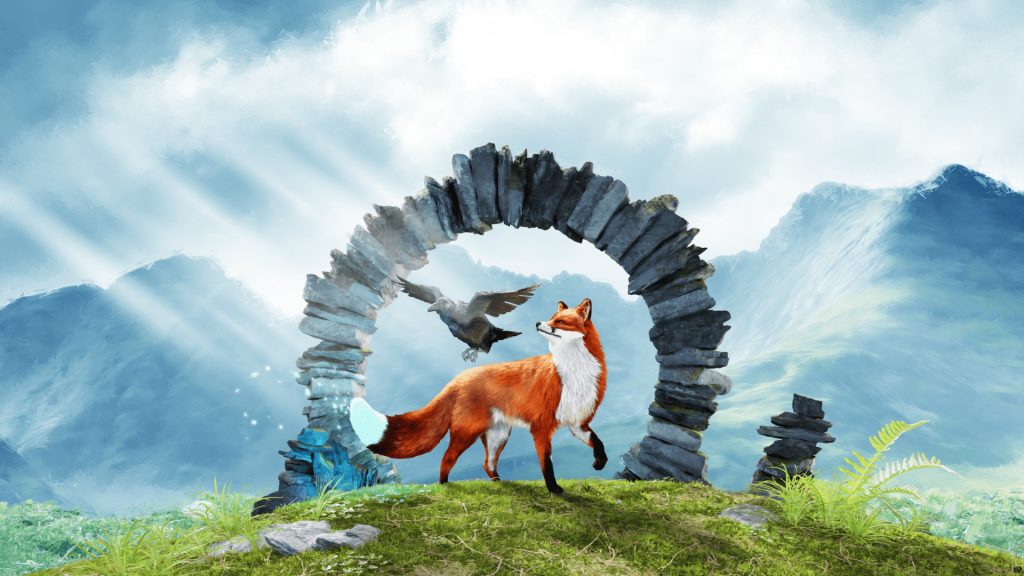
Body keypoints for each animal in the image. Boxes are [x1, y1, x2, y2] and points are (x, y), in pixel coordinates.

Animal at [368, 298, 607, 494]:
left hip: (498, 436)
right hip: (467, 433)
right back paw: (444, 486)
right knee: (446, 459)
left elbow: (599, 443)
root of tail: (458, 379)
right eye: (551, 318)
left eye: (561, 321)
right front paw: (554, 489)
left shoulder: (577, 422)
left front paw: (600, 463)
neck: (573, 374)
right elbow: (546, 464)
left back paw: (500, 482)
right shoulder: (541, 427)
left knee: (488, 463)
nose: (538, 323)